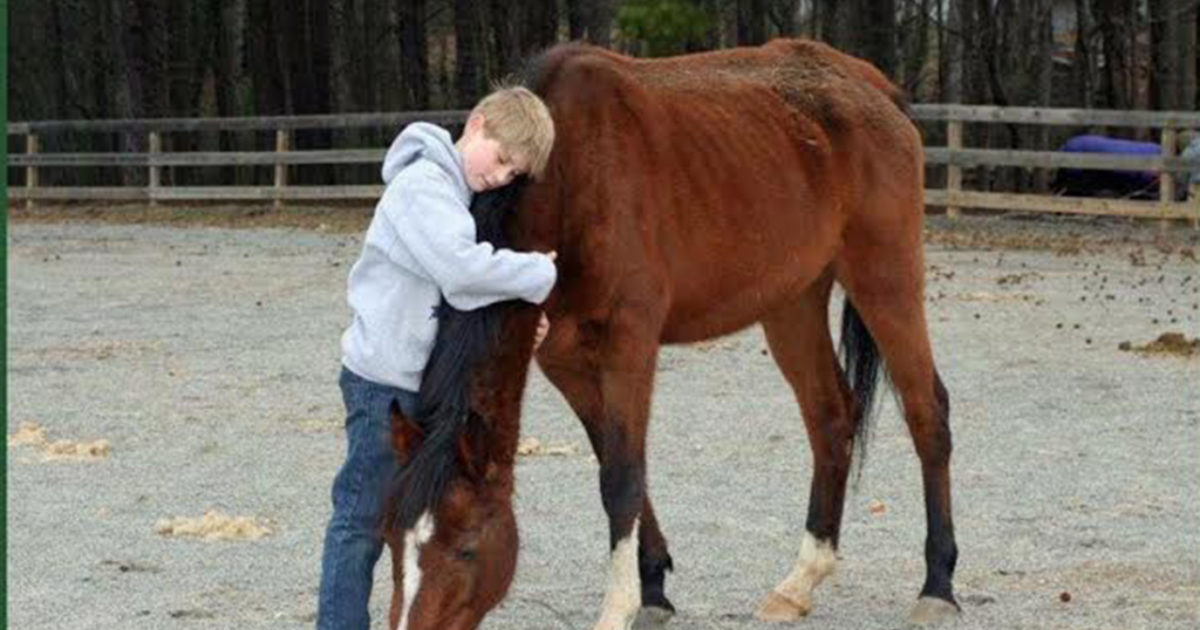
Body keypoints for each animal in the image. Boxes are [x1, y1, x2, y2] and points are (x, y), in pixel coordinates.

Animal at [383, 39, 960, 630]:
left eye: (466, 549)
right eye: (391, 543)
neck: (569, 176)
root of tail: (874, 87)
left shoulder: (629, 344)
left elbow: (621, 477)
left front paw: (619, 607)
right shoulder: (565, 359)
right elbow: (615, 460)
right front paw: (654, 586)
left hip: (885, 280)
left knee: (926, 412)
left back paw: (937, 584)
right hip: (792, 302)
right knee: (830, 416)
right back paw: (801, 579)